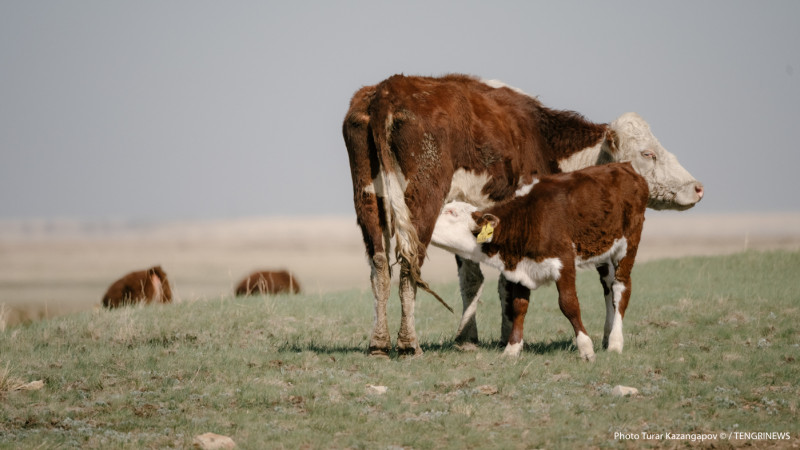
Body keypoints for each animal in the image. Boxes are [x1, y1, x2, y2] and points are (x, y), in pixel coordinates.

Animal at [432, 163, 648, 360]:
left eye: (451, 213)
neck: (526, 220)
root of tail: (624, 166)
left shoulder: (564, 261)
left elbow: (569, 304)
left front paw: (586, 348)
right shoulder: (519, 269)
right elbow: (519, 307)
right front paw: (512, 348)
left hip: (628, 243)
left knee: (621, 289)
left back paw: (615, 342)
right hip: (604, 251)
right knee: (608, 288)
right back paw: (607, 336)